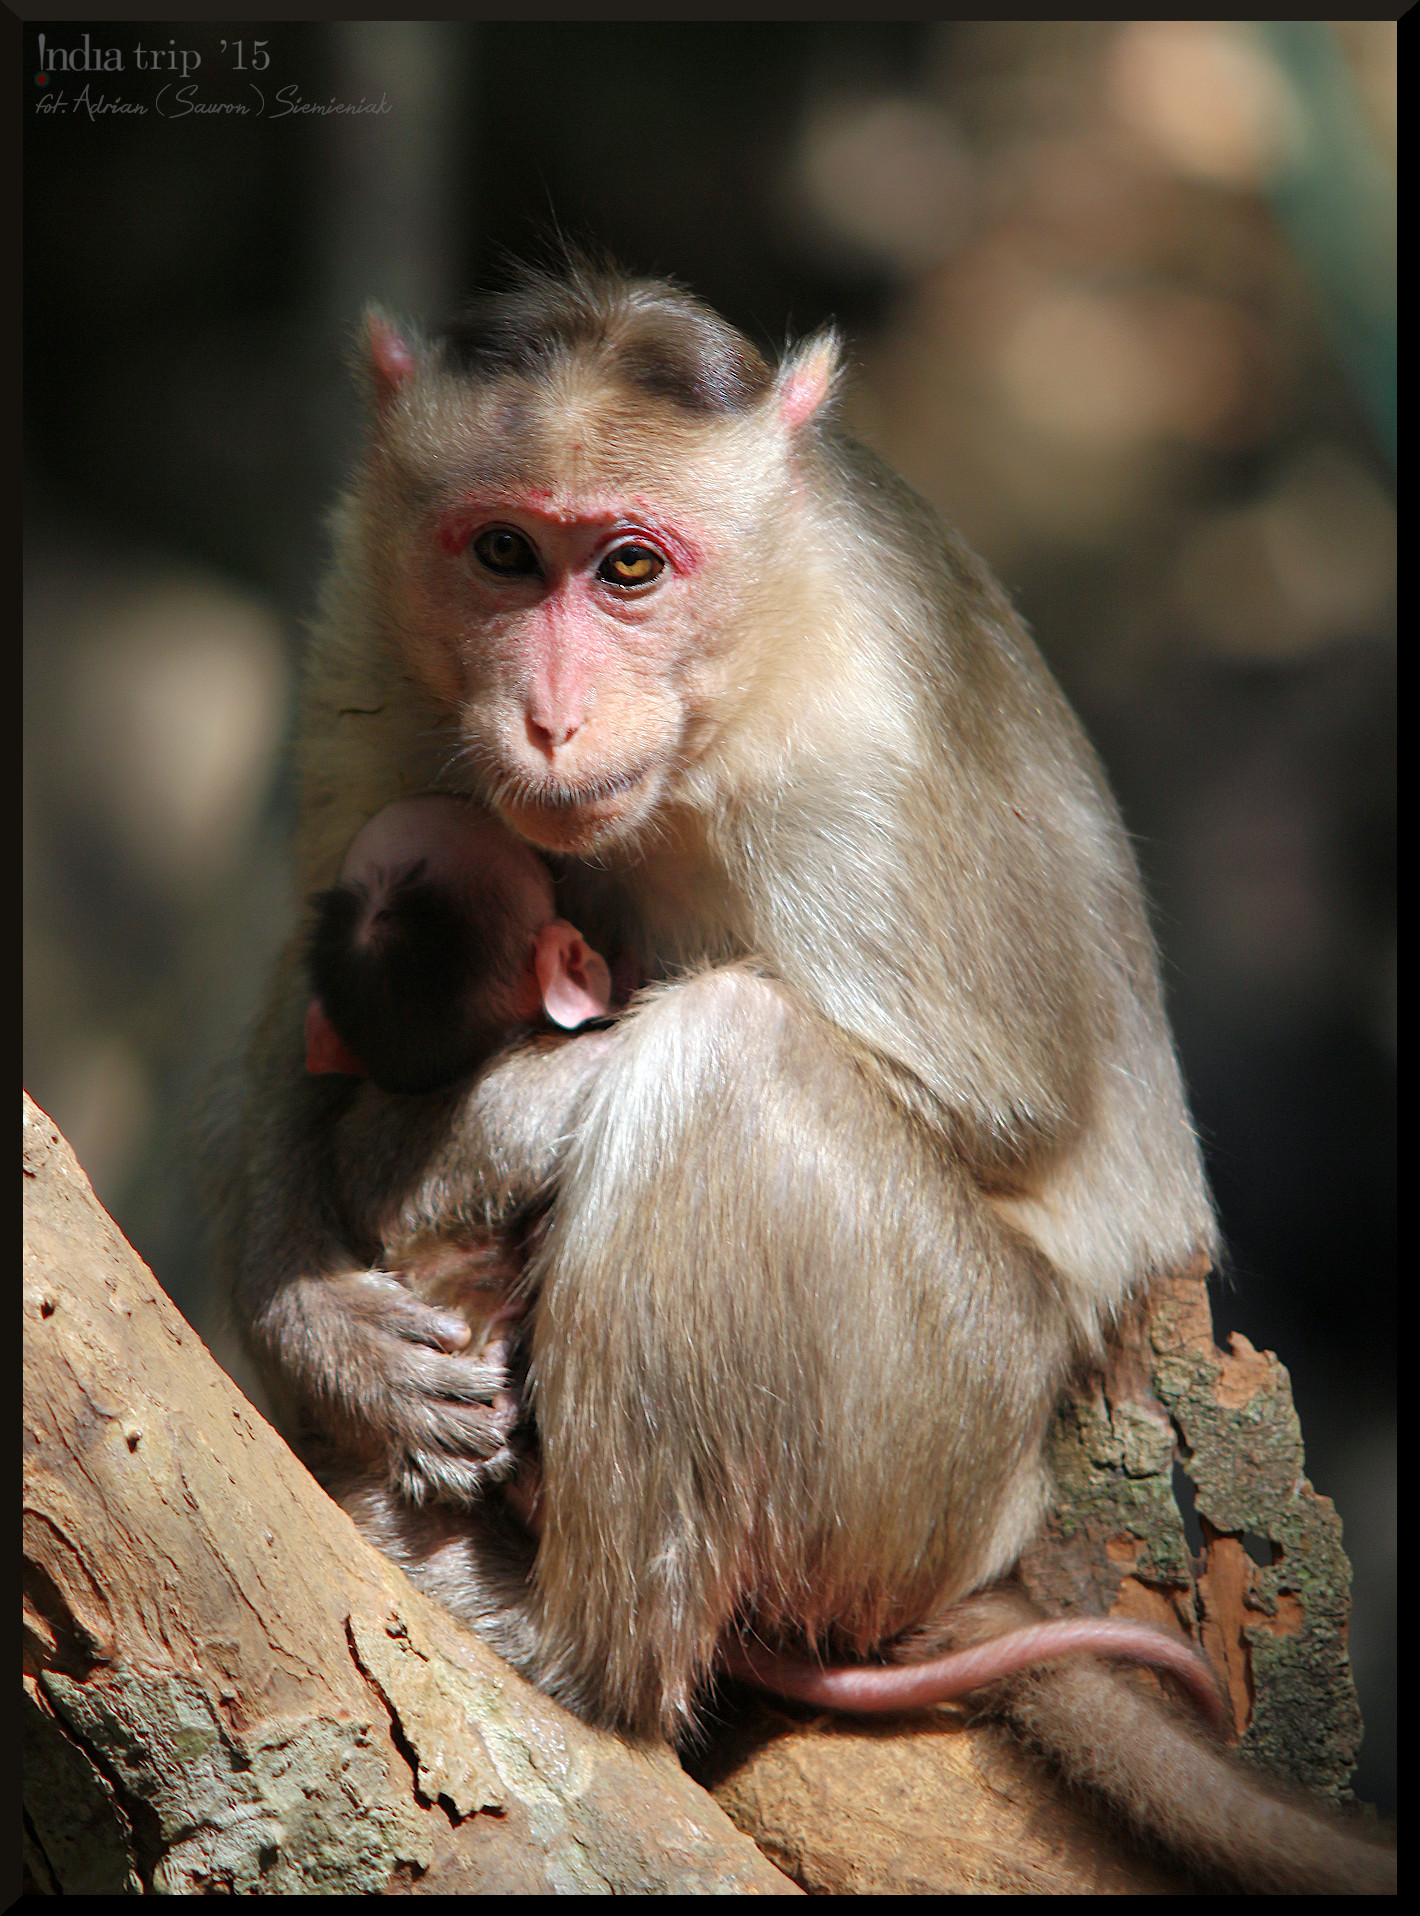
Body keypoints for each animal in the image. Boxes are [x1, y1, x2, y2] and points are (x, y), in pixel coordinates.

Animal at [214, 263, 1394, 1892]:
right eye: (505, 554)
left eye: (631, 568)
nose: (552, 714)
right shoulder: (365, 635)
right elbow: (306, 956)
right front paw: (322, 1333)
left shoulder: (862, 748)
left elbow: (991, 1102)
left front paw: (450, 1143)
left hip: (943, 1433)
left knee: (728, 1066)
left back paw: (578, 1644)